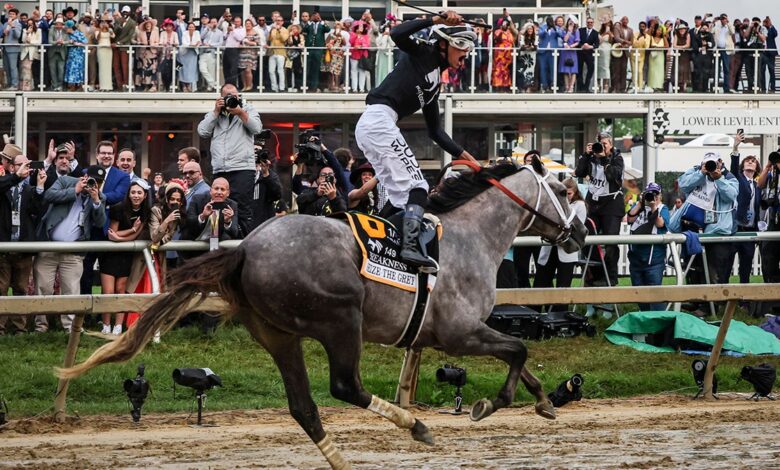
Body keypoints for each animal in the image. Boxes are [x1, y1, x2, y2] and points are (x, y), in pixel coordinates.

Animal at [59, 160, 584, 468]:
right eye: (566, 189)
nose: (579, 235)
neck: (469, 237)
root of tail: (245, 248)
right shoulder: (457, 333)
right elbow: (519, 348)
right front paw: (490, 404)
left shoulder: (458, 333)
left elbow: (520, 353)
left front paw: (543, 401)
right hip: (340, 319)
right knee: (344, 387)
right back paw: (414, 426)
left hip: (277, 334)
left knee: (304, 407)